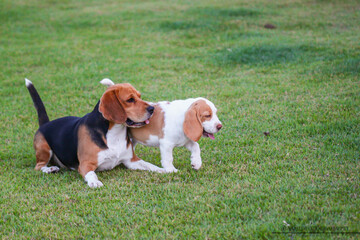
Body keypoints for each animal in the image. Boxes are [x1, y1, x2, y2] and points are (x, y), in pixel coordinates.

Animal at [25, 78, 165, 188]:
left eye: (139, 96)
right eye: (130, 100)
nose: (152, 109)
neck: (114, 133)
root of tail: (45, 124)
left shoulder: (131, 160)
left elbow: (149, 165)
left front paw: (162, 170)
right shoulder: (86, 164)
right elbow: (91, 174)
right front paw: (94, 182)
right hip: (44, 149)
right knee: (38, 166)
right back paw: (50, 169)